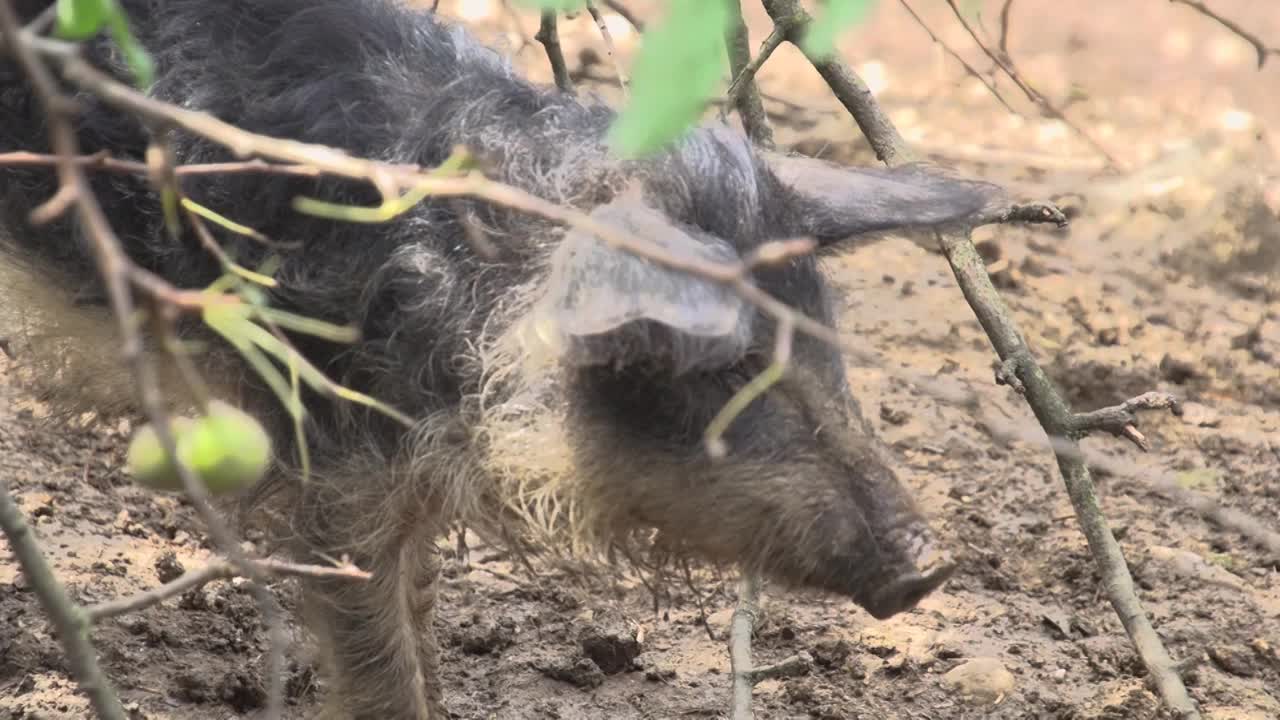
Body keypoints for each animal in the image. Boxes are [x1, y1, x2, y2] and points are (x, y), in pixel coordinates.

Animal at [0, 1, 1059, 712]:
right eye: (719, 368)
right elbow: (376, 654)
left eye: (825, 343)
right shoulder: (332, 466)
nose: (932, 566)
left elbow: (421, 605)